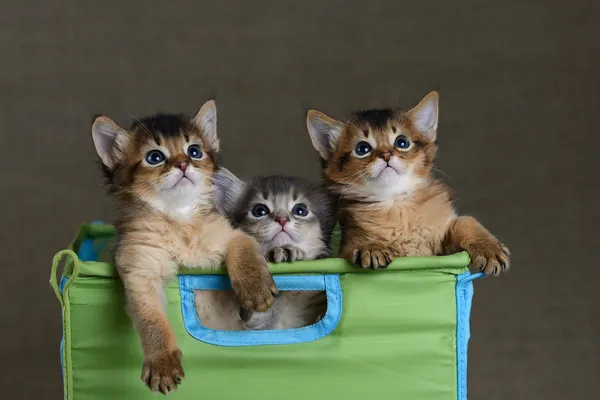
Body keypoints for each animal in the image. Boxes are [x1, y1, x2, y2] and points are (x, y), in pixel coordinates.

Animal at [90, 101, 278, 394]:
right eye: (155, 157)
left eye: (194, 151)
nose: (182, 164)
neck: (179, 220)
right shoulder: (140, 269)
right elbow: (152, 320)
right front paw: (162, 363)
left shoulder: (231, 234)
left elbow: (244, 251)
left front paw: (256, 289)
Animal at [304, 91, 510, 276]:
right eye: (362, 148)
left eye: (401, 142)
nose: (386, 154)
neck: (397, 205)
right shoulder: (346, 245)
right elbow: (355, 245)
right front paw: (370, 246)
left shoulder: (443, 246)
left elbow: (465, 221)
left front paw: (489, 248)